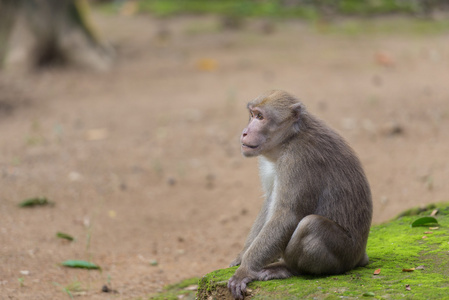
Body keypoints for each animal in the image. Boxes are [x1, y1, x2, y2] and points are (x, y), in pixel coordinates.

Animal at [228, 90, 372, 298]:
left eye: (261, 117)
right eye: (253, 114)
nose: (245, 132)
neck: (289, 139)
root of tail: (361, 256)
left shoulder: (298, 160)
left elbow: (287, 216)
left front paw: (245, 270)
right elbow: (270, 201)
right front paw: (241, 256)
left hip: (346, 253)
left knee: (310, 225)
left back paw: (289, 268)